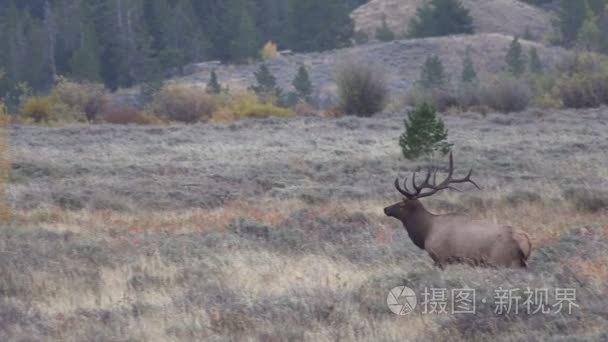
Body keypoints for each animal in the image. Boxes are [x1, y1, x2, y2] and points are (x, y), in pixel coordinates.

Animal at [384, 154, 532, 268]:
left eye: (401, 204)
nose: (386, 209)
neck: (425, 232)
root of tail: (526, 242)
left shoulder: (441, 258)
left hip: (501, 261)